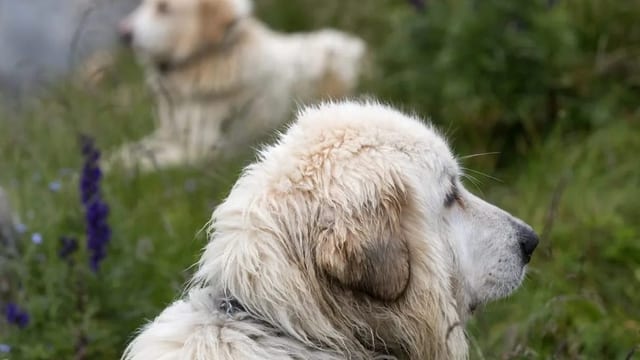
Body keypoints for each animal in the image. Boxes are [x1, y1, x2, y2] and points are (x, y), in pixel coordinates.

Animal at [110, 0, 368, 172]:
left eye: (163, 8)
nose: (123, 33)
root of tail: (359, 47)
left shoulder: (201, 152)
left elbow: (137, 162)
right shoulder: (168, 136)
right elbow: (130, 150)